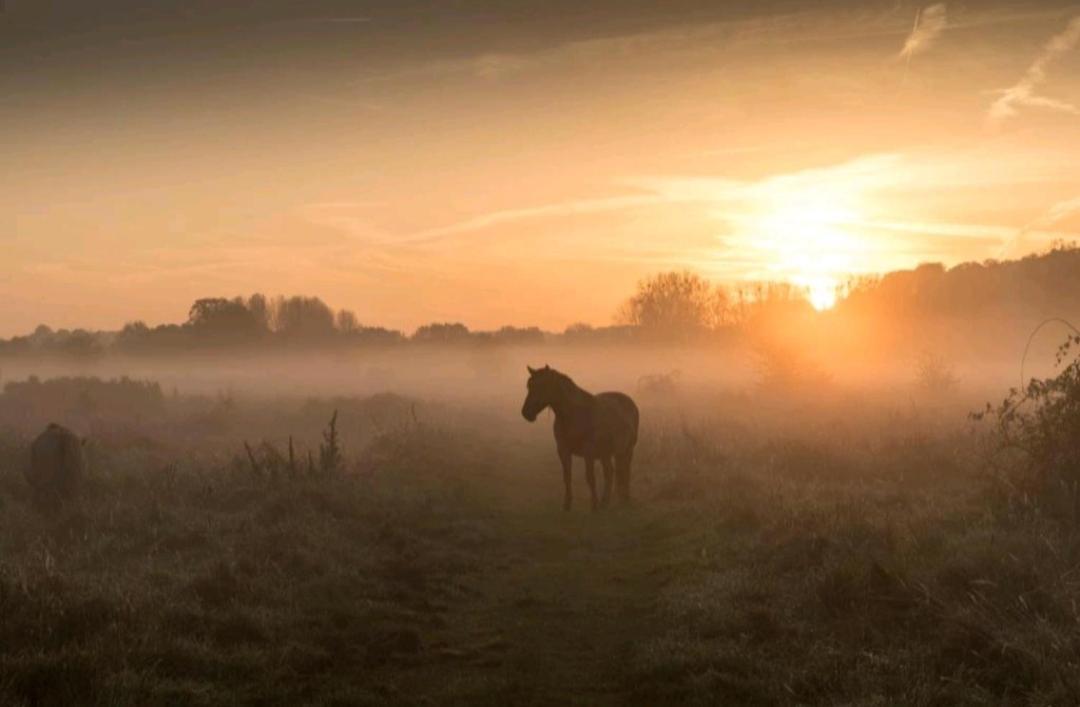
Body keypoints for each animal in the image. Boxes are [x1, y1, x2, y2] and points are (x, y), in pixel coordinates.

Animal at [518, 366, 635, 511]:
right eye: (529, 386)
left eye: (542, 385)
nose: (526, 413)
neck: (573, 415)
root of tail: (628, 401)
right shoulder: (563, 450)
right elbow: (567, 476)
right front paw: (567, 505)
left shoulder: (588, 452)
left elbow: (590, 478)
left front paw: (594, 506)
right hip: (606, 454)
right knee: (610, 472)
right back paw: (606, 501)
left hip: (627, 450)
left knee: (625, 471)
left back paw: (623, 499)